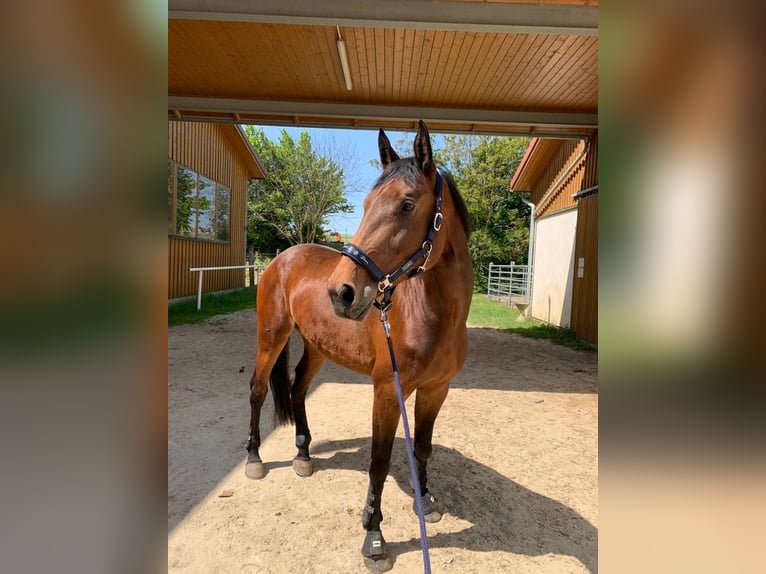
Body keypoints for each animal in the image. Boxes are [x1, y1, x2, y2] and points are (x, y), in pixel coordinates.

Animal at [245, 120, 473, 572]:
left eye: (406, 205)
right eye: (367, 203)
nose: (342, 293)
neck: (434, 315)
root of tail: (281, 258)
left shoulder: (436, 390)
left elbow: (422, 448)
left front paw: (426, 502)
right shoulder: (387, 390)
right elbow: (379, 461)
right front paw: (374, 536)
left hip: (317, 348)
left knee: (297, 389)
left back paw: (303, 456)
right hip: (271, 337)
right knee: (259, 390)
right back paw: (255, 459)